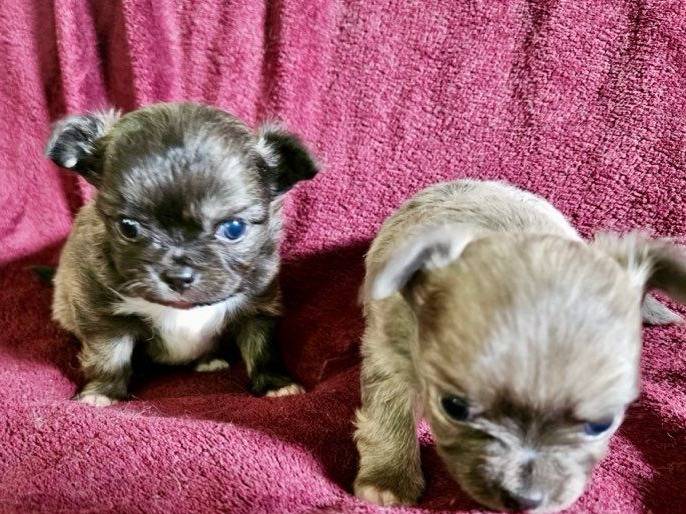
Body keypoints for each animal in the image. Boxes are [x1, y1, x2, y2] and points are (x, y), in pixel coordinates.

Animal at [45, 102, 318, 406]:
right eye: (128, 227)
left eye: (234, 228)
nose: (178, 277)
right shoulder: (102, 313)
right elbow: (109, 355)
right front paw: (102, 393)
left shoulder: (258, 306)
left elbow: (262, 348)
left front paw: (275, 383)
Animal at [353, 179, 685, 511]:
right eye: (454, 407)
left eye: (601, 424)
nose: (524, 498)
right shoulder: (390, 350)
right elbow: (389, 410)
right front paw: (388, 479)